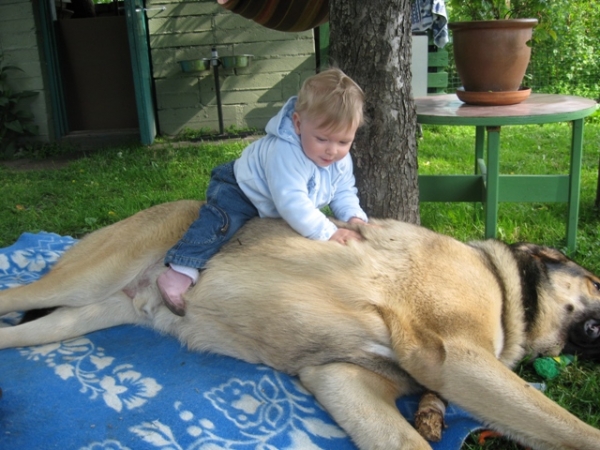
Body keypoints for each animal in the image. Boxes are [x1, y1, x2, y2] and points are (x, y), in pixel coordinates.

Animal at [1, 201, 600, 450]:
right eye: (596, 283)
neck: (503, 286)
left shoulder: (341, 378)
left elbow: (407, 442)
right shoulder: (460, 357)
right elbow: (569, 427)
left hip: (77, 316)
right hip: (84, 278)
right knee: (12, 294)